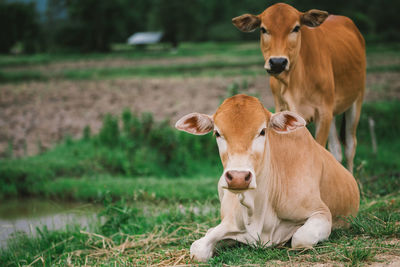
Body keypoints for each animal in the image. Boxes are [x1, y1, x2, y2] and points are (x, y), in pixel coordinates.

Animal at [175, 95, 360, 262]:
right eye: (217, 133)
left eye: (262, 131)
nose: (238, 177)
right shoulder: (228, 223)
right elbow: (198, 249)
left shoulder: (322, 213)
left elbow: (300, 239)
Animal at [231, 3, 366, 173]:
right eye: (263, 29)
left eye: (296, 28)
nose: (277, 62)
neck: (294, 82)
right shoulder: (283, 110)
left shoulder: (323, 113)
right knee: (336, 150)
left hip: (356, 100)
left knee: (349, 146)